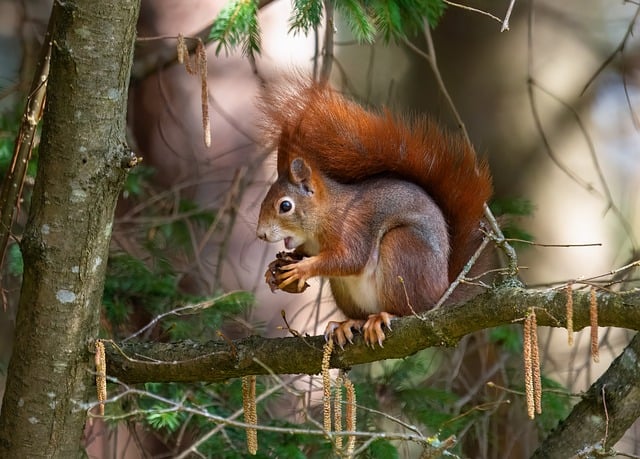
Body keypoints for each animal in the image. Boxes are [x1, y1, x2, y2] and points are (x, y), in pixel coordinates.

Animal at [256, 79, 492, 347]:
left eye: (285, 206)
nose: (261, 234)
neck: (325, 215)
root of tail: (439, 298)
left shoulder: (353, 226)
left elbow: (350, 258)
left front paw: (301, 269)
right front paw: (275, 269)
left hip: (402, 249)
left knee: (408, 311)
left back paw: (383, 317)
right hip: (344, 290)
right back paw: (348, 324)